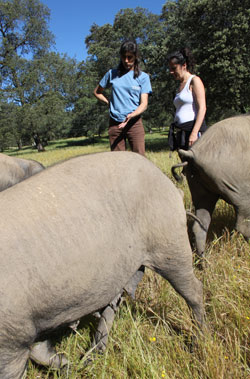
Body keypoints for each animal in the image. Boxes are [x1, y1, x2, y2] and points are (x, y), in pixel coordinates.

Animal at [0, 152, 204, 379]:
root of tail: (170, 186)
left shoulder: (11, 337)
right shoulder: (28, 325)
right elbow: (40, 351)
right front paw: (69, 366)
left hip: (170, 246)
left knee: (194, 291)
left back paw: (197, 344)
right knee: (111, 306)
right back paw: (91, 357)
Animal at [172, 113, 250, 255]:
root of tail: (193, 152)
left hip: (198, 184)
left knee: (200, 223)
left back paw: (203, 258)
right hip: (237, 186)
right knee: (243, 223)